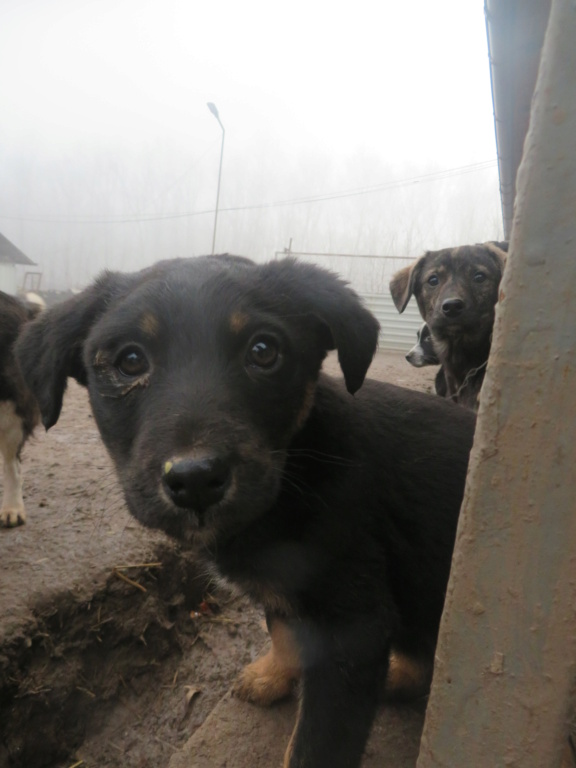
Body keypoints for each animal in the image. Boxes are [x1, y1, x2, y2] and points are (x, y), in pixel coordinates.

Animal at [15, 258, 474, 768]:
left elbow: (317, 744)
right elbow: (282, 629)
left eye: (263, 350)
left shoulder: (353, 627)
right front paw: (271, 675)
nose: (196, 481)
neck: (297, 470)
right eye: (130, 361)